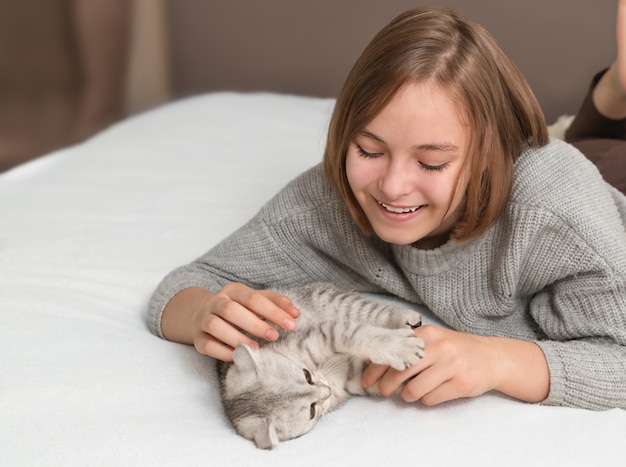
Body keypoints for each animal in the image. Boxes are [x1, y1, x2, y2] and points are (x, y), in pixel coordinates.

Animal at [216, 284, 424, 452]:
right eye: (311, 411)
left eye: (306, 375)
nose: (327, 391)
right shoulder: (355, 376)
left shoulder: (324, 334)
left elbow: (357, 335)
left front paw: (398, 347)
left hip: (329, 300)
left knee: (371, 310)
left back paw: (404, 317)